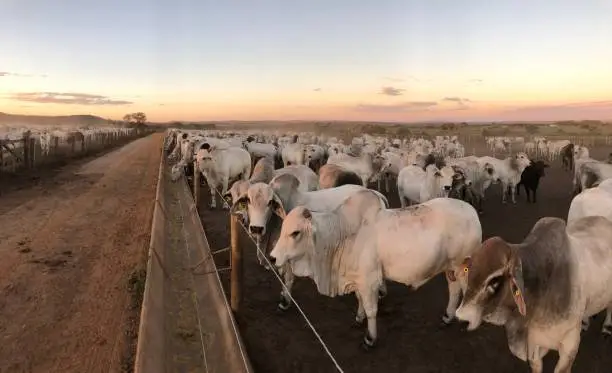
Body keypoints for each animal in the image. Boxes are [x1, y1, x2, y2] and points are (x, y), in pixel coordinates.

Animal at [270, 196, 480, 348]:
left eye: (295, 232)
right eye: (282, 228)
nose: (272, 257)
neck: (342, 235)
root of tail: (471, 211)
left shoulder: (370, 280)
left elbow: (372, 310)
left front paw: (370, 338)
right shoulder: (358, 279)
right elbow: (359, 300)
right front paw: (358, 318)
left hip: (462, 268)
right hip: (450, 268)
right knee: (454, 291)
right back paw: (447, 317)